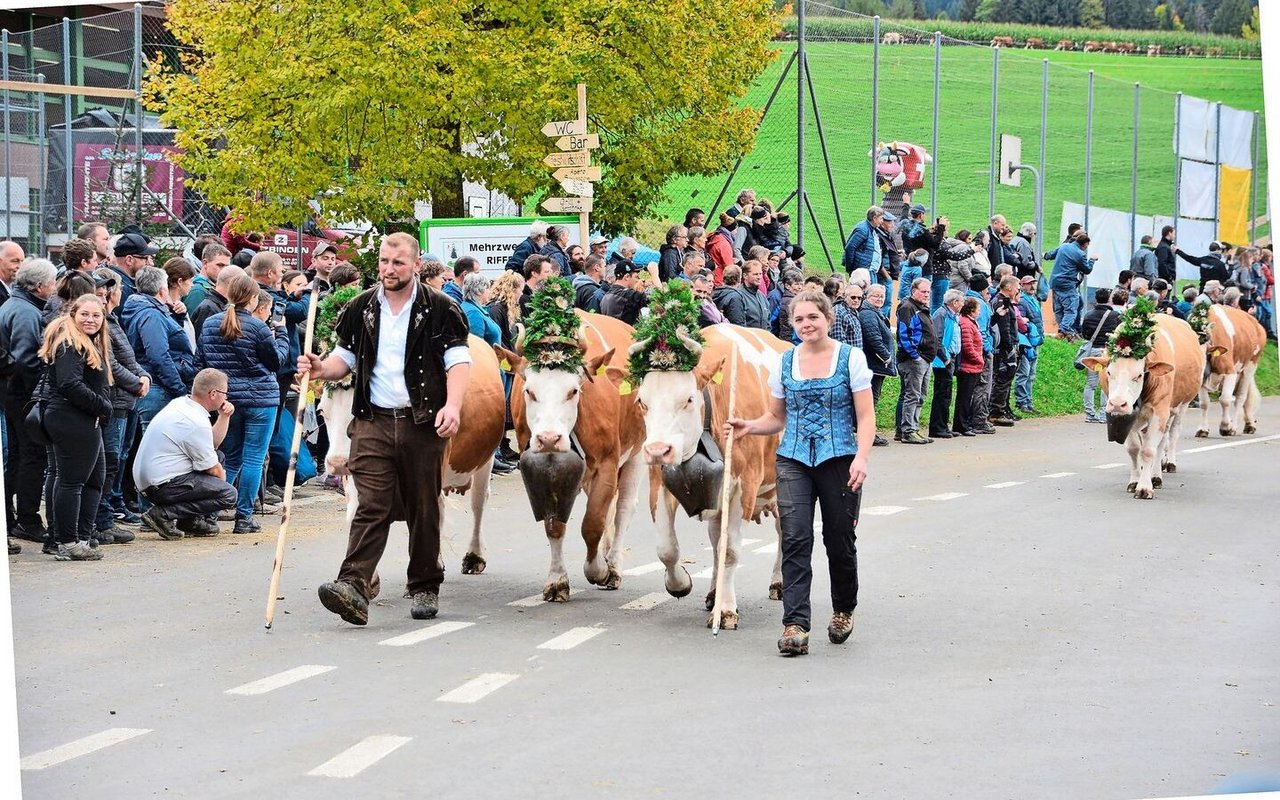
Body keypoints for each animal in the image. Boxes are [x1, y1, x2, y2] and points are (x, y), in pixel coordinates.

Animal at [317, 332, 506, 570]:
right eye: (322, 411)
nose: (338, 463)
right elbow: (357, 514)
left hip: (485, 459)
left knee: (478, 502)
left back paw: (474, 557)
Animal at [494, 273, 645, 599]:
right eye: (529, 390)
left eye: (573, 390)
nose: (549, 438)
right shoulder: (541, 468)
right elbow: (555, 525)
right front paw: (556, 580)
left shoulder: (607, 463)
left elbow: (593, 523)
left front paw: (598, 570)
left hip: (636, 453)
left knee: (623, 508)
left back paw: (613, 565)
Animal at [616, 282, 788, 629]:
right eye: (641, 401)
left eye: (688, 399)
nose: (657, 450)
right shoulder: (660, 483)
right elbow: (667, 548)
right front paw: (680, 584)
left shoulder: (742, 487)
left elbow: (731, 550)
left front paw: (726, 610)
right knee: (714, 540)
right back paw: (712, 593)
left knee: (782, 534)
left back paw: (777, 583)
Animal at [1085, 298, 1203, 499]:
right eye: (1109, 372)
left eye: (1139, 375)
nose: (1117, 404)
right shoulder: (1129, 416)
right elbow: (1134, 449)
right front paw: (1134, 481)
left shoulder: (1159, 411)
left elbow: (1148, 450)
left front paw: (1144, 487)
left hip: (1181, 406)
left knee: (1170, 436)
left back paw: (1161, 471)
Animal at [1192, 302, 1264, 437]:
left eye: (1204, 353)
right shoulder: (1203, 380)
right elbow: (1204, 403)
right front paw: (1203, 429)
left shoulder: (1230, 372)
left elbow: (1225, 399)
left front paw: (1226, 427)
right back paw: (1249, 424)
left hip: (1250, 367)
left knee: (1240, 398)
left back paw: (1236, 426)